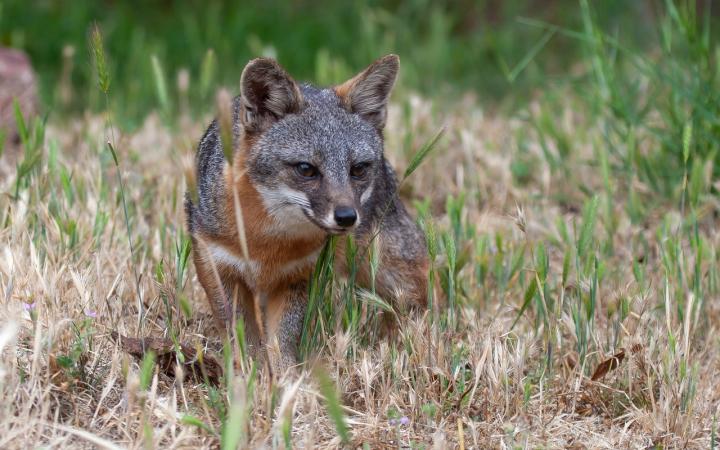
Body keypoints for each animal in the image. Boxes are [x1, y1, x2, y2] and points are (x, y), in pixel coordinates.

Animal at [185, 54, 429, 372]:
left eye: (358, 169)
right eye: (306, 169)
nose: (347, 217)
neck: (266, 242)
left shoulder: (299, 276)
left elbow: (282, 341)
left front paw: (287, 379)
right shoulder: (218, 266)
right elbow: (241, 336)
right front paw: (249, 375)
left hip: (392, 272)